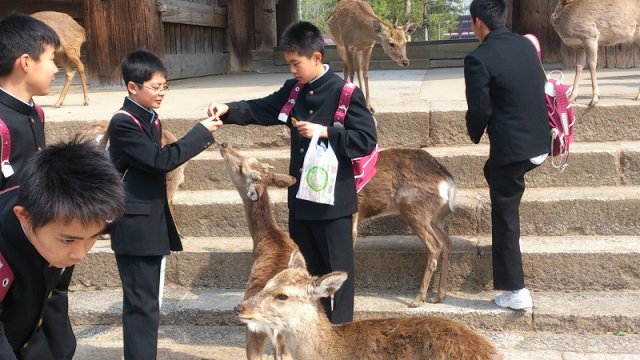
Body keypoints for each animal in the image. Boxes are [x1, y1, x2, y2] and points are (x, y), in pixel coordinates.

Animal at [356, 148, 456, 308]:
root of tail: (447, 181)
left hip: (414, 209)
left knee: (435, 245)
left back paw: (418, 299)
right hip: (433, 217)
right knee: (446, 242)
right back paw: (438, 296)